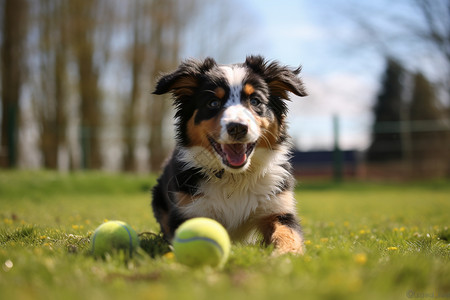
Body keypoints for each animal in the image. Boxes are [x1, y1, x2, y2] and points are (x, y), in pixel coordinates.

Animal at [150, 55, 306, 254]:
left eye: (255, 101)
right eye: (213, 103)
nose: (237, 127)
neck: (235, 178)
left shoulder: (278, 209)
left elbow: (288, 233)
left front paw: (285, 254)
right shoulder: (188, 210)